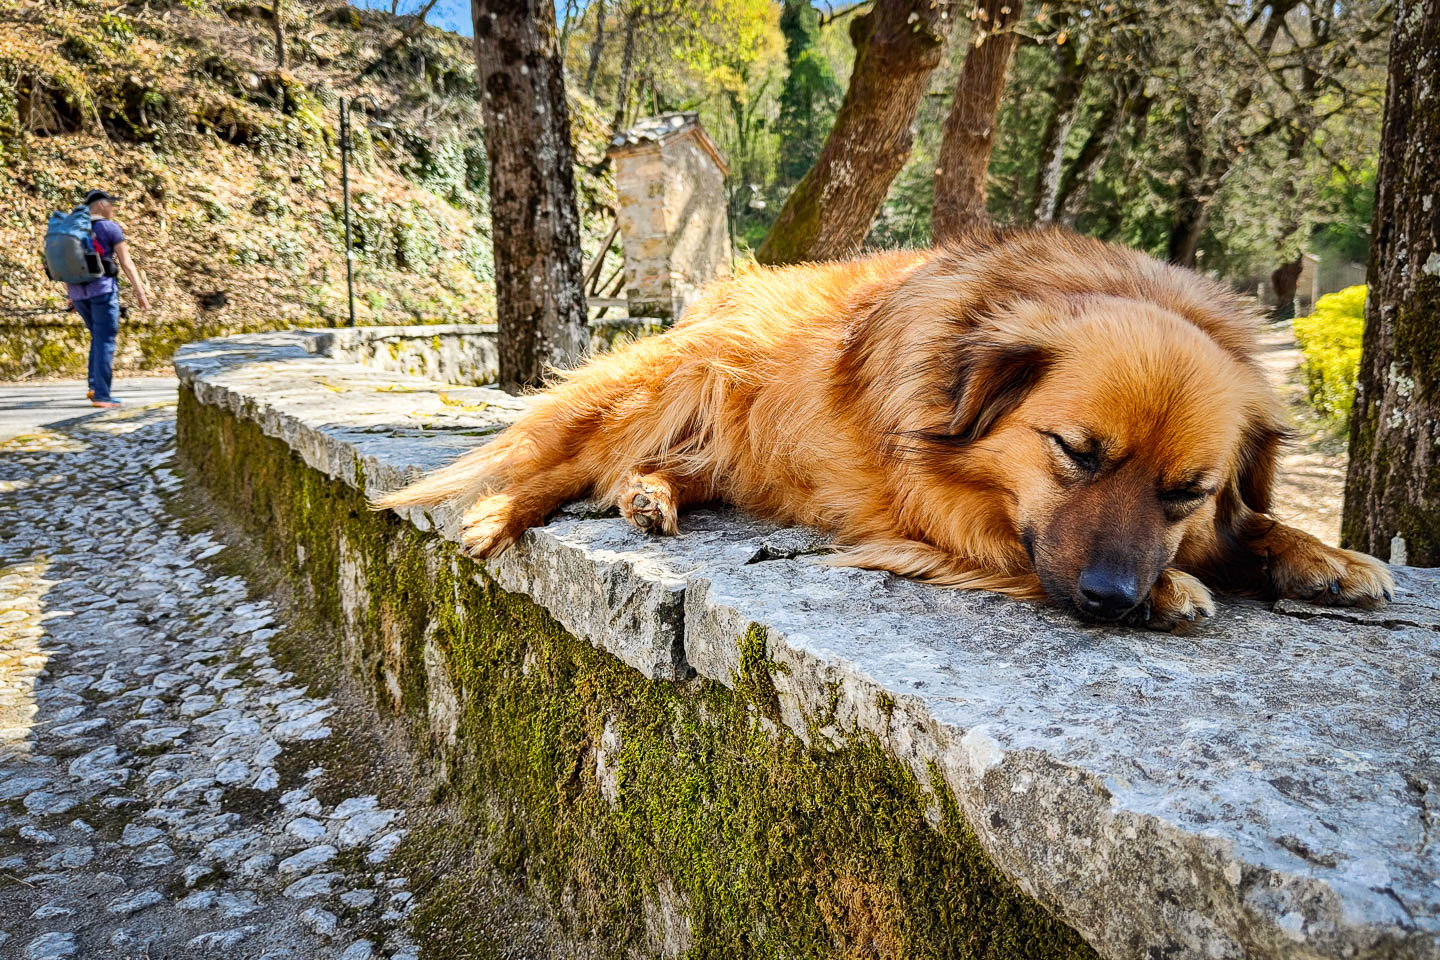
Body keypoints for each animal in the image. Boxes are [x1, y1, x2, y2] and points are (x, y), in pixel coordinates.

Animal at [377, 225, 1388, 630]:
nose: (1111, 598)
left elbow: (1255, 521)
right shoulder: (934, 499)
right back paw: (501, 513)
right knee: (566, 463)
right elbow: (1016, 543)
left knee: (660, 470)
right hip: (665, 389)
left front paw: (1320, 554)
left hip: (742, 452)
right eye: (1074, 452)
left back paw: (653, 497)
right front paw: (1179, 584)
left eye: (1188, 491)